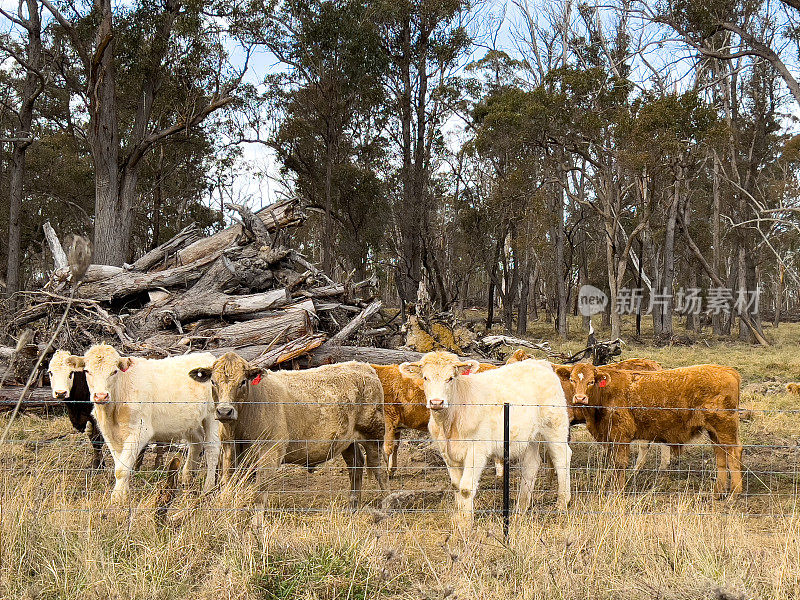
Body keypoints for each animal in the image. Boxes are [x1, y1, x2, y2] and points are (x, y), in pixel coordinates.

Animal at [66, 344, 220, 504]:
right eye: (87, 371)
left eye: (114, 371)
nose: (101, 396)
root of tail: (208, 357)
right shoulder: (109, 433)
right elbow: (120, 463)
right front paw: (123, 495)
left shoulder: (139, 431)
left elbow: (122, 469)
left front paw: (117, 499)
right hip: (189, 421)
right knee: (197, 441)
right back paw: (187, 477)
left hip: (212, 415)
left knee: (212, 449)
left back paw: (208, 488)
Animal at [564, 360, 740, 496]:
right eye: (572, 380)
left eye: (591, 381)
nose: (580, 398)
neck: (606, 392)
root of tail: (729, 371)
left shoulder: (621, 436)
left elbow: (620, 463)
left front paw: (618, 491)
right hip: (714, 432)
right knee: (721, 455)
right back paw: (718, 492)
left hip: (725, 428)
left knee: (734, 453)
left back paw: (734, 493)